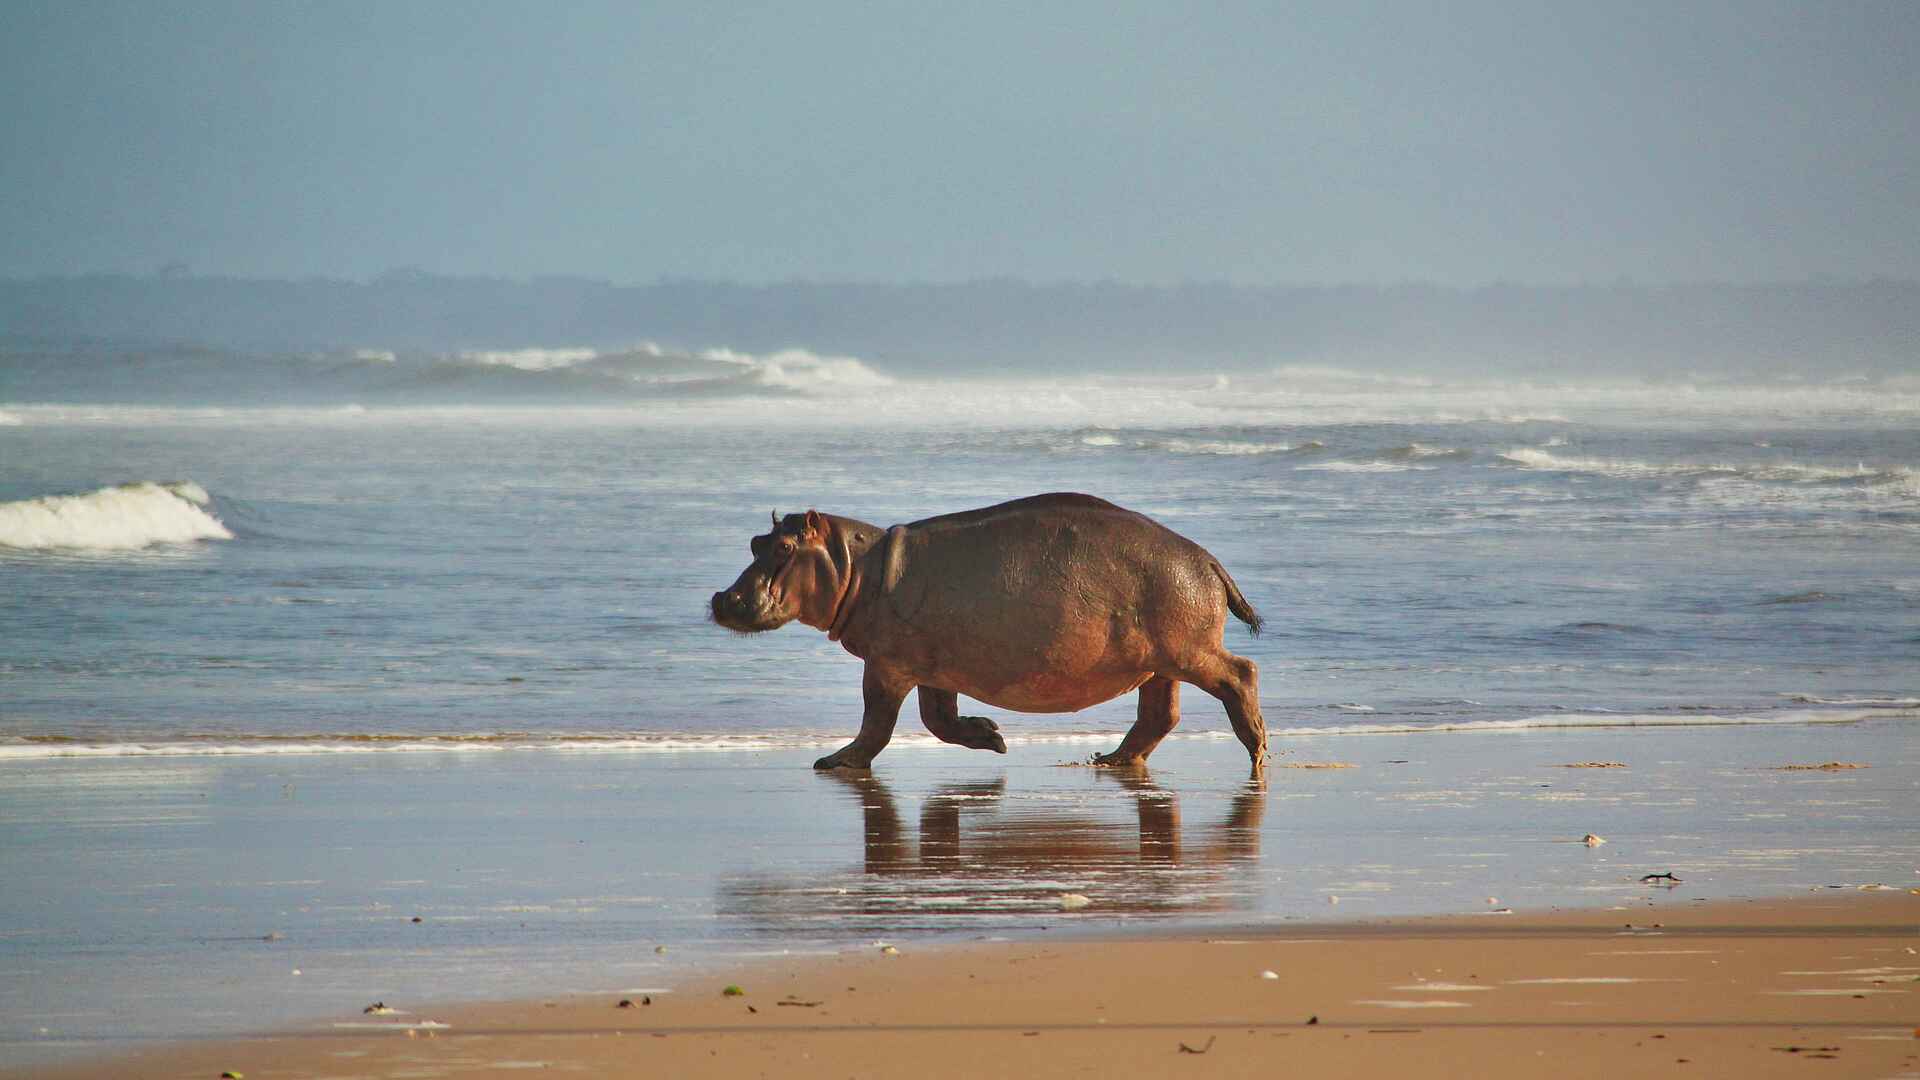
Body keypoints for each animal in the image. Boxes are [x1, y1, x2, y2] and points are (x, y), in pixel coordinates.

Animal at [710, 493, 1267, 773]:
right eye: (756, 541)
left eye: (785, 548)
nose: (723, 599)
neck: (856, 566)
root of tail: (1208, 560)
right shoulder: (931, 667)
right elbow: (937, 719)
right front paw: (993, 737)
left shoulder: (887, 666)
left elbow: (877, 722)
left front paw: (834, 762)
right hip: (1159, 662)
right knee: (1159, 715)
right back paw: (1109, 759)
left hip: (1189, 651)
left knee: (1240, 674)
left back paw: (1257, 751)